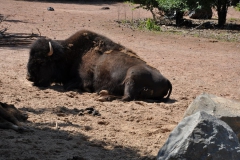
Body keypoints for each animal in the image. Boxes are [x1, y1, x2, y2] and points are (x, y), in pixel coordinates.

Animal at [27, 29, 172, 101]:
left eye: (41, 61)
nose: (29, 77)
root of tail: (167, 80)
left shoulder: (84, 80)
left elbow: (69, 86)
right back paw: (103, 93)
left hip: (132, 76)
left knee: (127, 97)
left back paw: (103, 96)